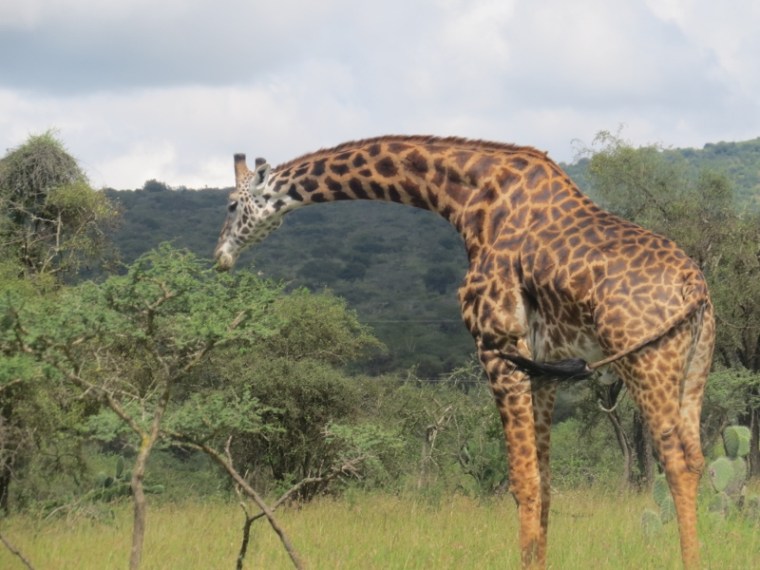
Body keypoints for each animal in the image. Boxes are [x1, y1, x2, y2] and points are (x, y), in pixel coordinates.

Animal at [214, 135, 714, 569]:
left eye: (232, 204)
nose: (220, 255)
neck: (467, 200)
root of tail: (695, 288)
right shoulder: (544, 366)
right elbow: (545, 481)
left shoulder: (497, 346)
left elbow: (522, 483)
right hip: (694, 368)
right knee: (695, 457)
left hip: (647, 361)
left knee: (673, 460)